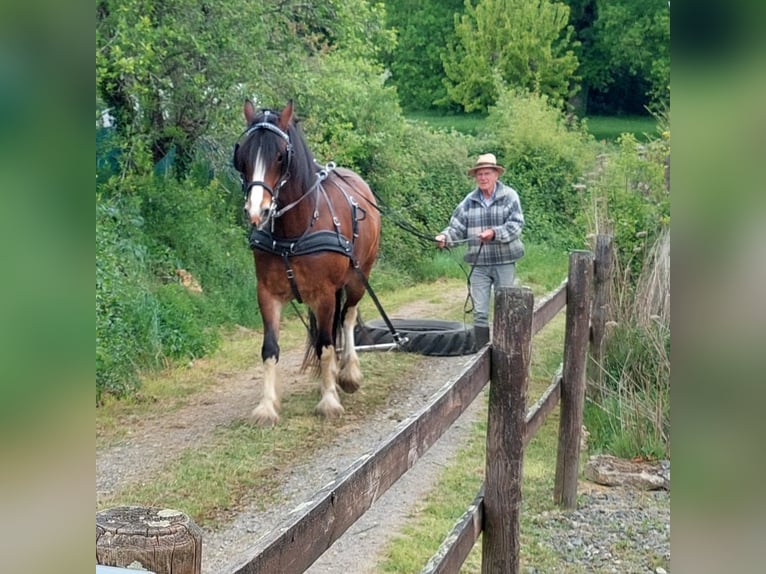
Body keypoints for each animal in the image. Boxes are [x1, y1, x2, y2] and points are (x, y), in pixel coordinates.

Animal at [231, 101, 380, 428]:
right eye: (242, 156)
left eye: (279, 155)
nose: (257, 211)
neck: (293, 232)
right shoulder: (267, 294)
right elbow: (270, 349)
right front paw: (267, 407)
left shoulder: (323, 294)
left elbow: (325, 344)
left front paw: (329, 401)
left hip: (357, 279)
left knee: (347, 317)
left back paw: (348, 372)